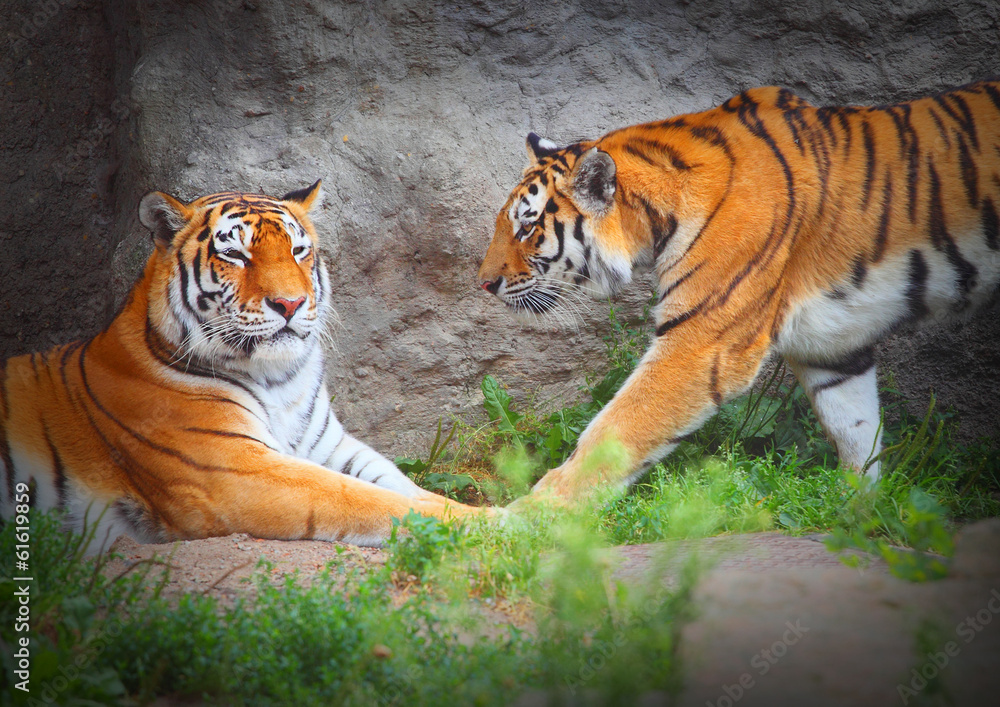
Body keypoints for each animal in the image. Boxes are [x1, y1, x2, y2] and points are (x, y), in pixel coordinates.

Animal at [0, 181, 485, 551]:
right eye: (236, 255)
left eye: (299, 250)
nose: (291, 303)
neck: (279, 378)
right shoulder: (236, 472)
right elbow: (371, 501)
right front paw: (497, 524)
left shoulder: (330, 448)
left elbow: (402, 486)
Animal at [478, 78, 1000, 503]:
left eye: (527, 227)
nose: (483, 283)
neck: (659, 215)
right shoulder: (834, 343)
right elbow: (855, 427)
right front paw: (858, 511)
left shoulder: (701, 342)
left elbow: (616, 430)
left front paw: (524, 518)